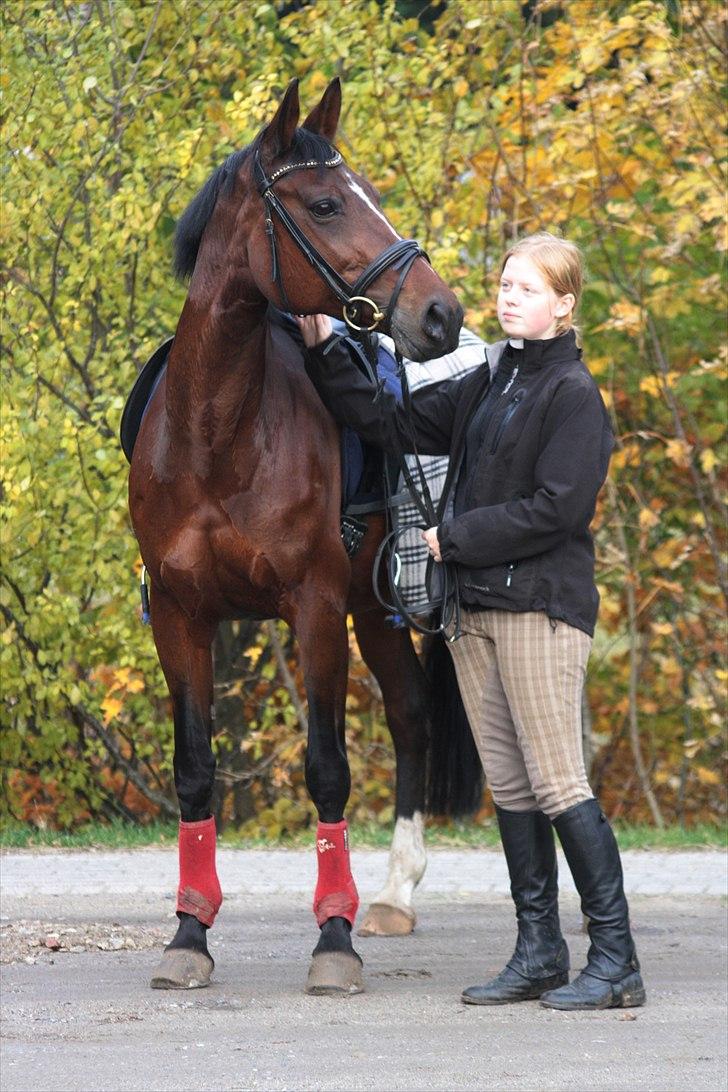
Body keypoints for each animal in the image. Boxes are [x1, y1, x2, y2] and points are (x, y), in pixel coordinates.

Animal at [127, 79, 464, 1000]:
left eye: (369, 194)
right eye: (324, 204)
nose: (440, 312)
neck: (217, 434)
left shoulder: (313, 608)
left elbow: (327, 768)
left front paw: (333, 941)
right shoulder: (181, 617)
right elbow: (194, 770)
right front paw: (189, 935)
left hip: (383, 606)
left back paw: (388, 899)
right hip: (374, 609)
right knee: (413, 712)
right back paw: (394, 895)